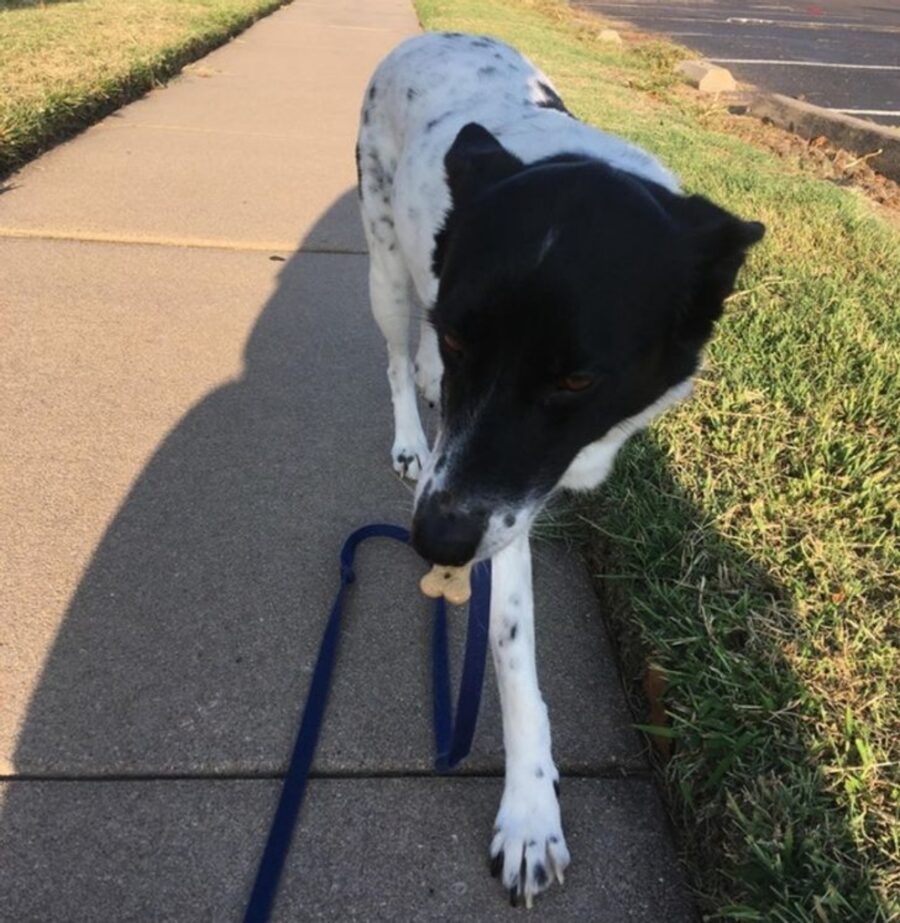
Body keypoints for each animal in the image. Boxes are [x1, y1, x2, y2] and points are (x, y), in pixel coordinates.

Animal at [356, 32, 764, 904]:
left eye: (576, 380)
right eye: (463, 338)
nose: (436, 543)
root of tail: (427, 36)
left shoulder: (502, 484)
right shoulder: (493, 496)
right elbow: (513, 650)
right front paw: (530, 812)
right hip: (385, 261)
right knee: (396, 357)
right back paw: (411, 429)